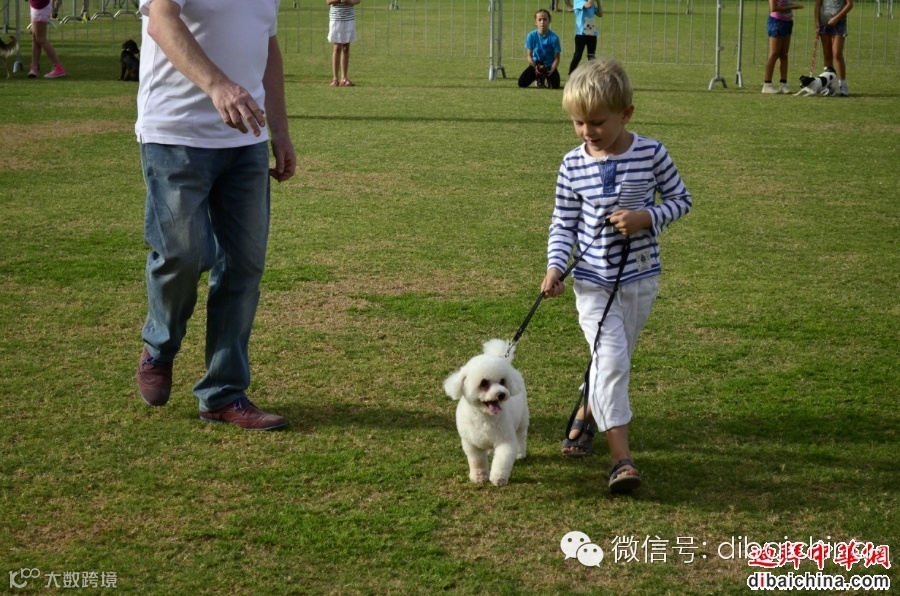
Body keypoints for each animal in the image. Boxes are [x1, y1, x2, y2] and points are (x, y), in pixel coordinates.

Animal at [443, 339, 529, 487]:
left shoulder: (505, 441)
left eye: (502, 381)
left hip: (522, 420)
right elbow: (477, 462)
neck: (484, 417)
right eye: (483, 383)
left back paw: (520, 453)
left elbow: (502, 461)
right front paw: (479, 477)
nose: (501, 394)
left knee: (521, 438)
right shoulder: (472, 444)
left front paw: (498, 479)